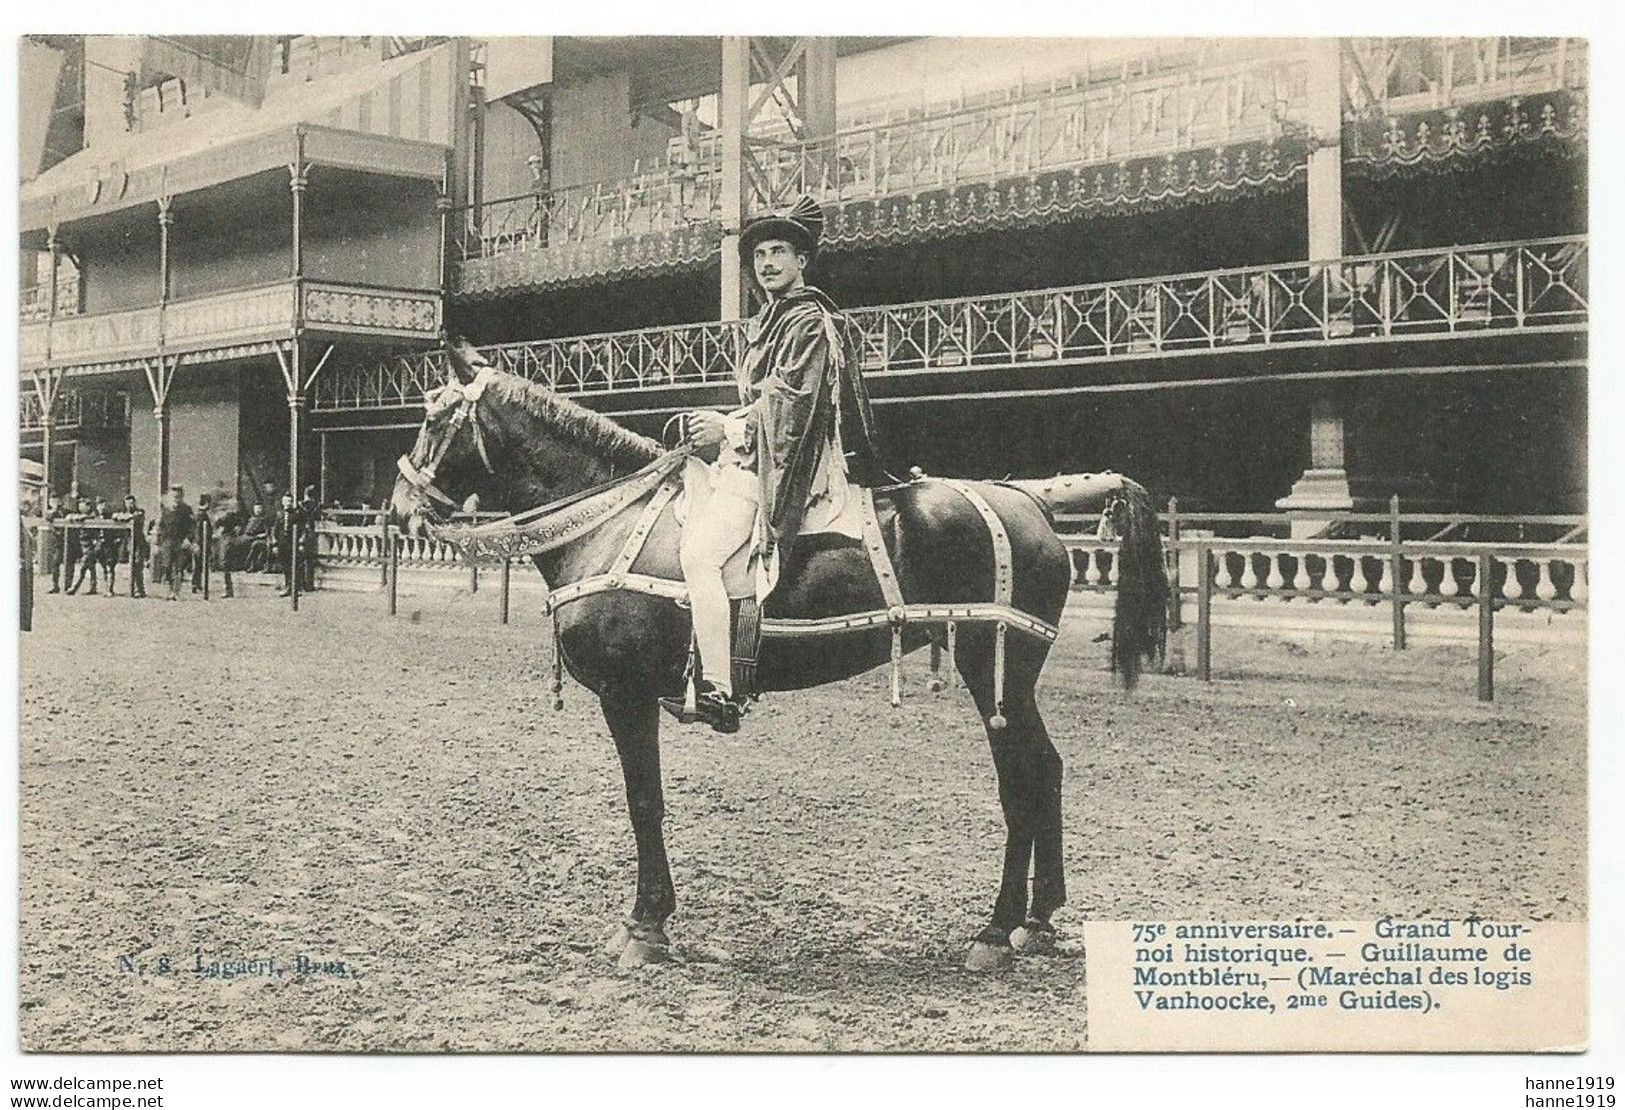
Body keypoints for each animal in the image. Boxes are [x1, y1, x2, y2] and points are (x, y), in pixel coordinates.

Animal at [386, 351, 1163, 968]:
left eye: (432, 417)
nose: (395, 512)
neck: (611, 522)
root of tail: (1029, 502)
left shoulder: (625, 695)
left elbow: (644, 803)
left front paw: (645, 926)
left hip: (993, 669)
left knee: (1022, 780)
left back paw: (996, 931)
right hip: (1008, 677)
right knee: (1046, 771)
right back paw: (1038, 920)